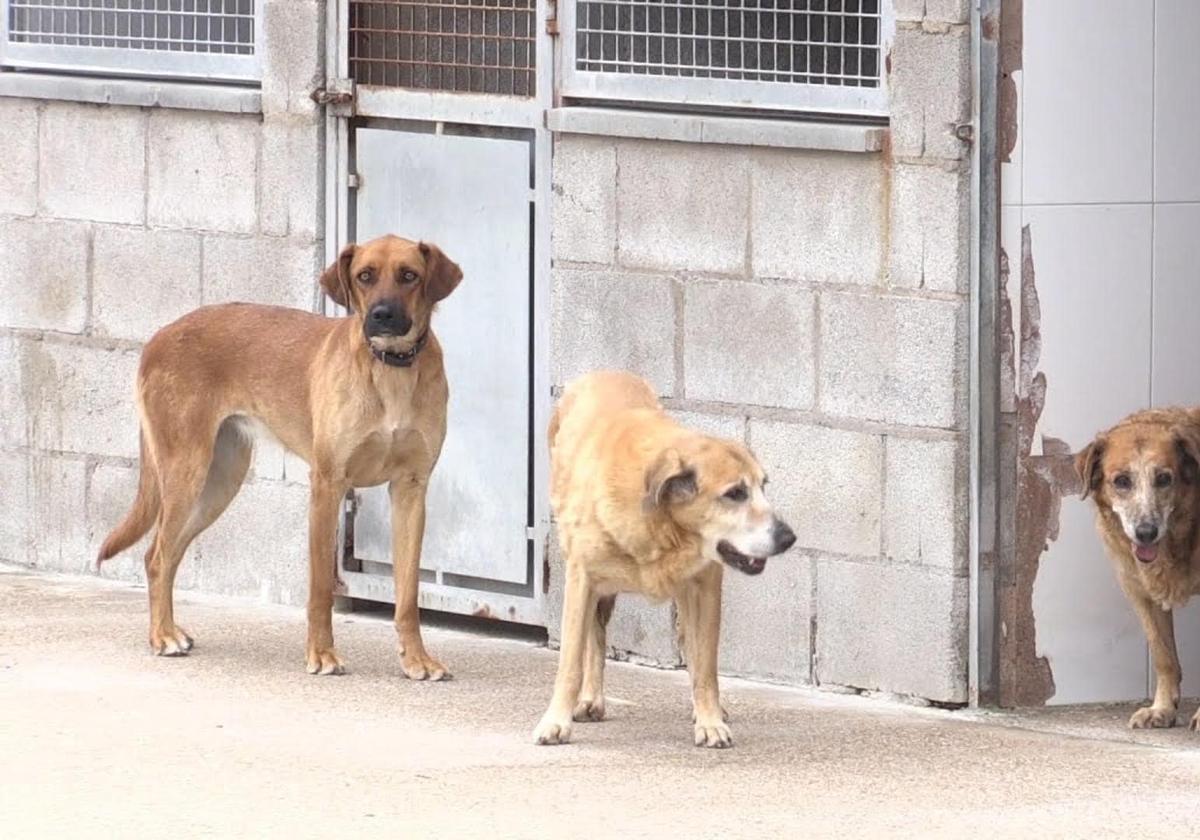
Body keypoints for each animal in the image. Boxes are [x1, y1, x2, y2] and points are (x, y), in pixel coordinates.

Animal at [98, 232, 460, 681]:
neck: (391, 369)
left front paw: (416, 659)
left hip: (219, 482)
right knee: (157, 554)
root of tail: (158, 335)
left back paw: (171, 630)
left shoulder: (411, 489)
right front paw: (321, 654)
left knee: (166, 553)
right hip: (186, 471)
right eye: (365, 276)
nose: (381, 315)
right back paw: (162, 636)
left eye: (409, 275)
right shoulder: (327, 486)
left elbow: (408, 594)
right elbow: (320, 589)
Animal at [537, 369, 796, 744]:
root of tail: (603, 372)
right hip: (595, 584)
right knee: (595, 636)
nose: (789, 538)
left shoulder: (705, 586)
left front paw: (710, 719)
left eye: (764, 486)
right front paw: (556, 720)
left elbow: (705, 666)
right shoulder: (581, 579)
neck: (663, 525)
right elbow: (569, 662)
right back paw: (591, 699)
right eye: (735, 493)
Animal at [1075, 408, 1200, 729]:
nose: (1146, 532)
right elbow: (1162, 654)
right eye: (1121, 481)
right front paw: (1162, 709)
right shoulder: (1138, 591)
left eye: (1164, 478)